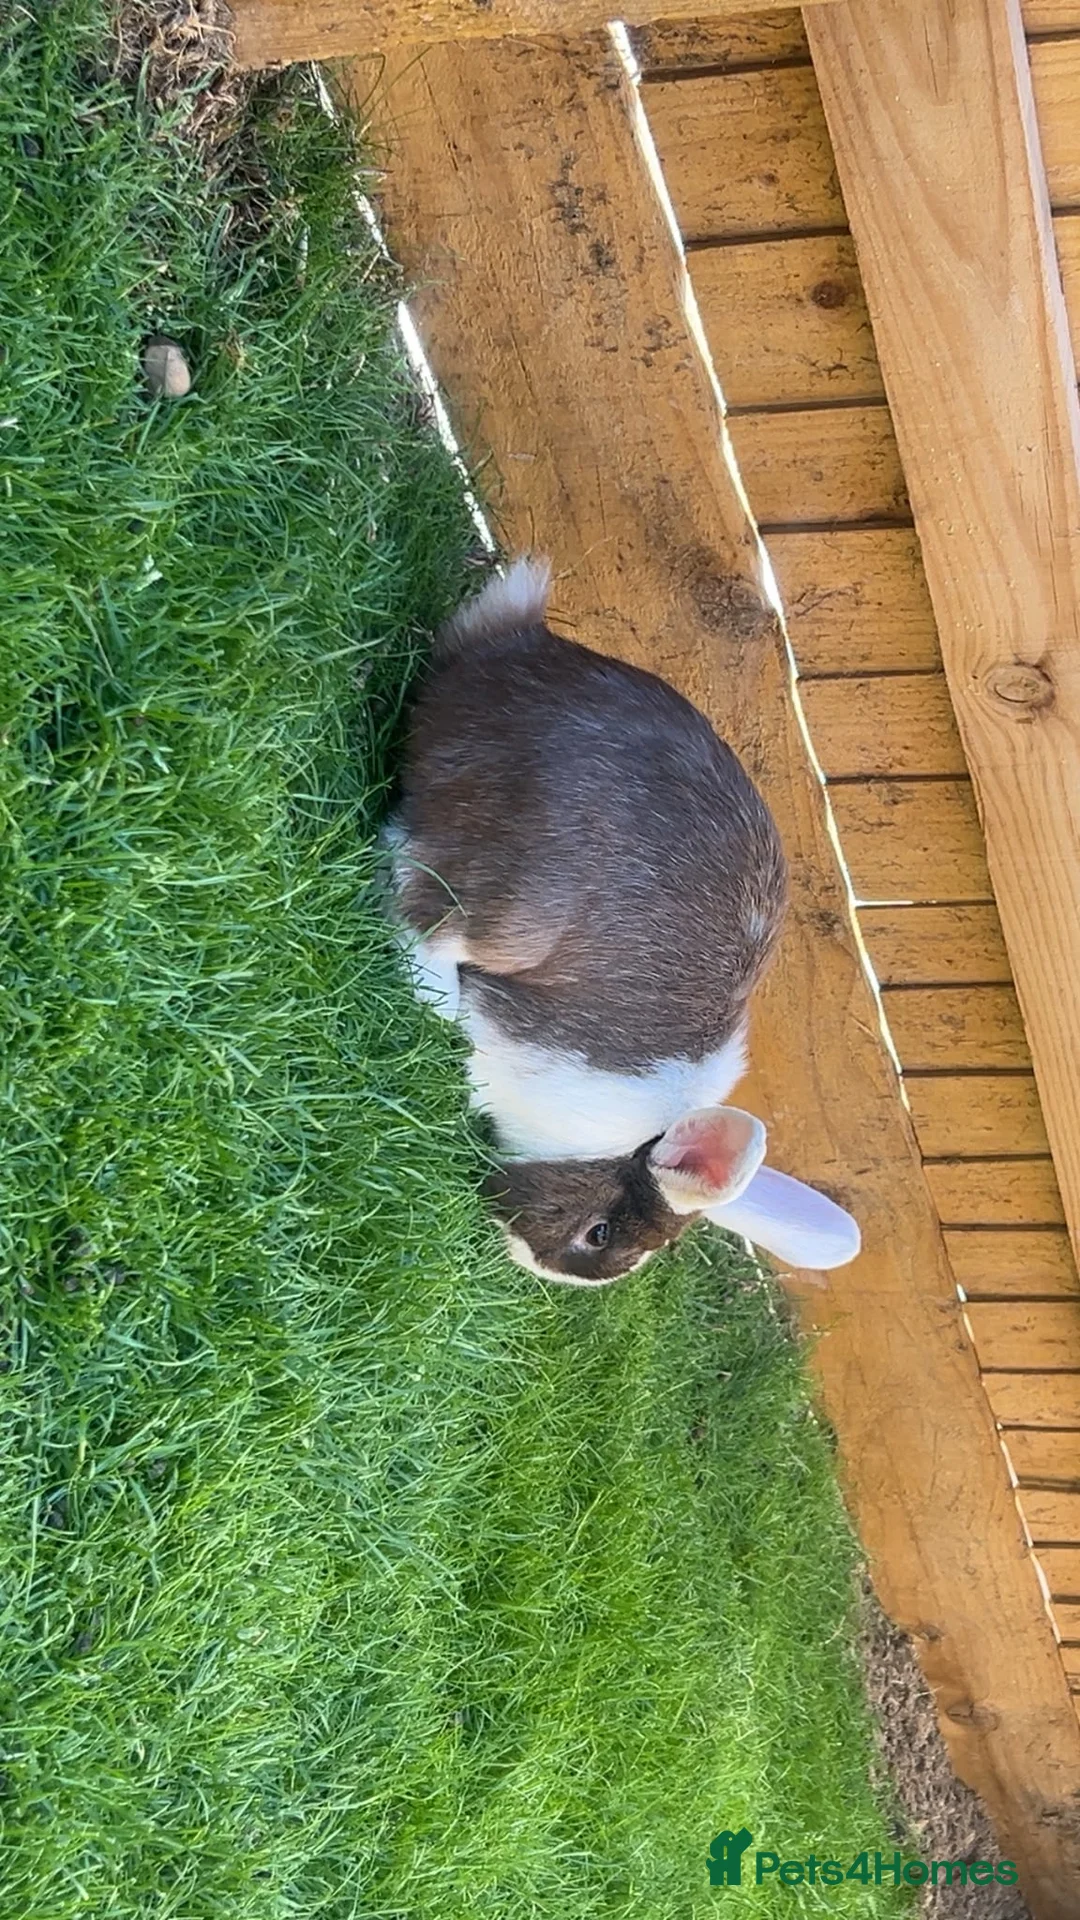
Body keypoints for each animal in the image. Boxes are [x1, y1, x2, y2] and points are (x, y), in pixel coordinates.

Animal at [383, 556, 861, 1285]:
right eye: (600, 1232)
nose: (532, 1263)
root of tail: (515, 648)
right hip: (517, 908)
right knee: (418, 885)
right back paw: (431, 996)